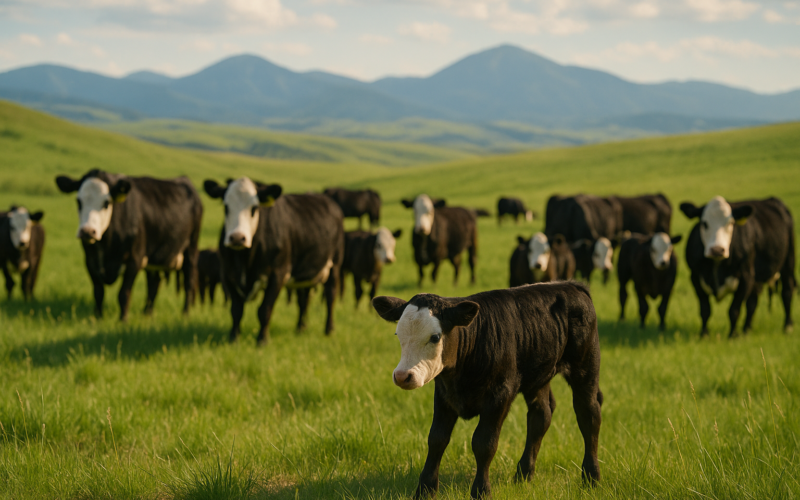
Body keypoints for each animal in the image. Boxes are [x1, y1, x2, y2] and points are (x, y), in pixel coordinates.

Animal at [55, 170, 202, 320]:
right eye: (79, 201)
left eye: (106, 203)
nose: (87, 231)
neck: (107, 246)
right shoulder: (90, 261)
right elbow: (98, 292)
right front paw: (97, 318)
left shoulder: (134, 260)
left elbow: (124, 293)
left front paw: (123, 320)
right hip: (154, 258)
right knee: (153, 284)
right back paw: (147, 314)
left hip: (191, 248)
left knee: (189, 281)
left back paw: (185, 313)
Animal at [204, 177, 344, 344]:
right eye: (226, 206)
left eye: (254, 208)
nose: (237, 238)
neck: (245, 261)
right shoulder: (228, 274)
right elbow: (236, 310)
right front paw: (234, 339)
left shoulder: (278, 274)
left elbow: (264, 309)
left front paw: (262, 340)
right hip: (304, 273)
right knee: (303, 300)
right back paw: (300, 328)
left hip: (334, 265)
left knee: (330, 296)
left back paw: (329, 330)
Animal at [372, 282, 602, 499]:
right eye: (398, 334)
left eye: (435, 337)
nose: (403, 376)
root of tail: (570, 285)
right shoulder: (444, 395)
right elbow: (437, 439)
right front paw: (425, 490)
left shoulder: (500, 395)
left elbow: (484, 443)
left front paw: (481, 491)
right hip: (538, 377)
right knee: (540, 417)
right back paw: (523, 476)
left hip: (585, 369)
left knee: (589, 416)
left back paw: (591, 478)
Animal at [680, 196, 795, 337]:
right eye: (704, 223)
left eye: (730, 223)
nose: (717, 250)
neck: (717, 265)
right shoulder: (695, 277)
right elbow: (705, 309)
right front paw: (704, 334)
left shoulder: (746, 277)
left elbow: (734, 310)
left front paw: (732, 335)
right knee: (752, 302)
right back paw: (747, 329)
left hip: (788, 262)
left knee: (787, 292)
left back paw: (787, 326)